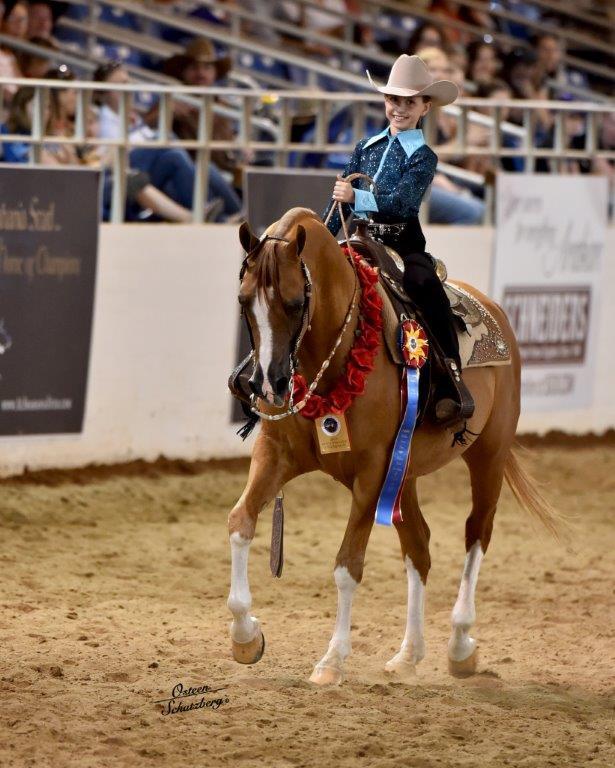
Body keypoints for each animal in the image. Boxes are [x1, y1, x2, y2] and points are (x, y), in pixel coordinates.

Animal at [227, 206, 559, 685]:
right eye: (243, 301)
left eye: (294, 303)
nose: (267, 383)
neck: (336, 352)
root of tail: (496, 310)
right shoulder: (277, 456)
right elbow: (240, 522)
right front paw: (246, 637)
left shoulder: (373, 471)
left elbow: (348, 566)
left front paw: (332, 661)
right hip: (407, 476)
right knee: (419, 546)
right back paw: (408, 654)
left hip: (488, 456)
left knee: (477, 534)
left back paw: (460, 645)